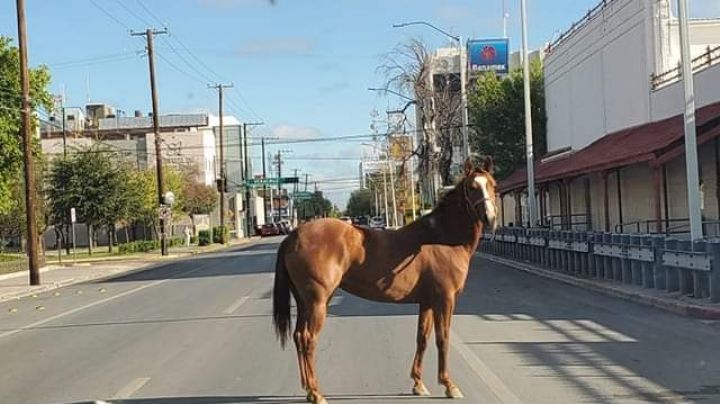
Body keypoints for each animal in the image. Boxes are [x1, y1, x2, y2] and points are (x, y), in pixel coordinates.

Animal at [272, 158, 498, 404]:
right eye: (472, 187)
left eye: (493, 185)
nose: (490, 218)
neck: (441, 239)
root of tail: (294, 236)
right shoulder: (445, 300)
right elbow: (443, 338)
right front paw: (449, 385)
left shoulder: (427, 302)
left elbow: (422, 337)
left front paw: (418, 384)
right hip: (317, 302)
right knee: (308, 339)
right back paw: (316, 392)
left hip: (304, 302)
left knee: (298, 336)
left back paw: (307, 388)